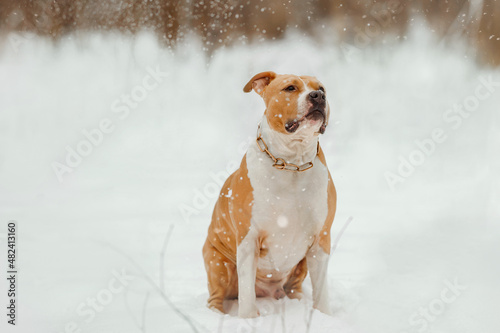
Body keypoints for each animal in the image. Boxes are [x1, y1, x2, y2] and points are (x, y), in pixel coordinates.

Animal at [202, 70, 336, 316]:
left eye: (322, 88)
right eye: (290, 88)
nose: (318, 96)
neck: (292, 162)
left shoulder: (321, 239)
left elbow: (322, 292)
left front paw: (324, 316)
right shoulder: (248, 238)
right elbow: (247, 293)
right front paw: (248, 319)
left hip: (300, 267)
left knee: (294, 287)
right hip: (218, 262)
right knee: (218, 295)